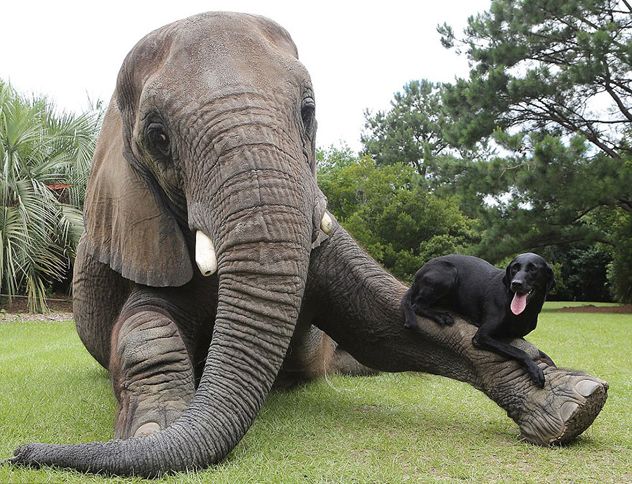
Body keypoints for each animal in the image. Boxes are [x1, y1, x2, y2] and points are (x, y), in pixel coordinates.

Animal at [402, 253, 556, 386]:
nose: (515, 283)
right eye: (514, 268)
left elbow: (541, 353)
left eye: (533, 269)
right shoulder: (482, 336)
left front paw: (549, 361)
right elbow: (519, 351)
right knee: (417, 305)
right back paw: (441, 316)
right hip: (448, 273)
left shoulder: (519, 336)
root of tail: (419, 273)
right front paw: (535, 371)